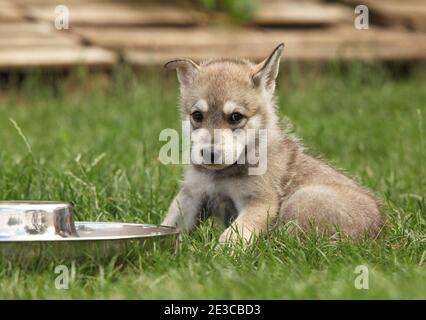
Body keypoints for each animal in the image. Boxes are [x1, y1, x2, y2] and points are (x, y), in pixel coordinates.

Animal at [161, 43, 384, 242]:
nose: (209, 154)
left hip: (301, 199)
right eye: (197, 116)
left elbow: (234, 234)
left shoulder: (260, 202)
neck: (222, 175)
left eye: (235, 117)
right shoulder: (192, 194)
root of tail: (381, 232)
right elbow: (170, 221)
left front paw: (221, 254)